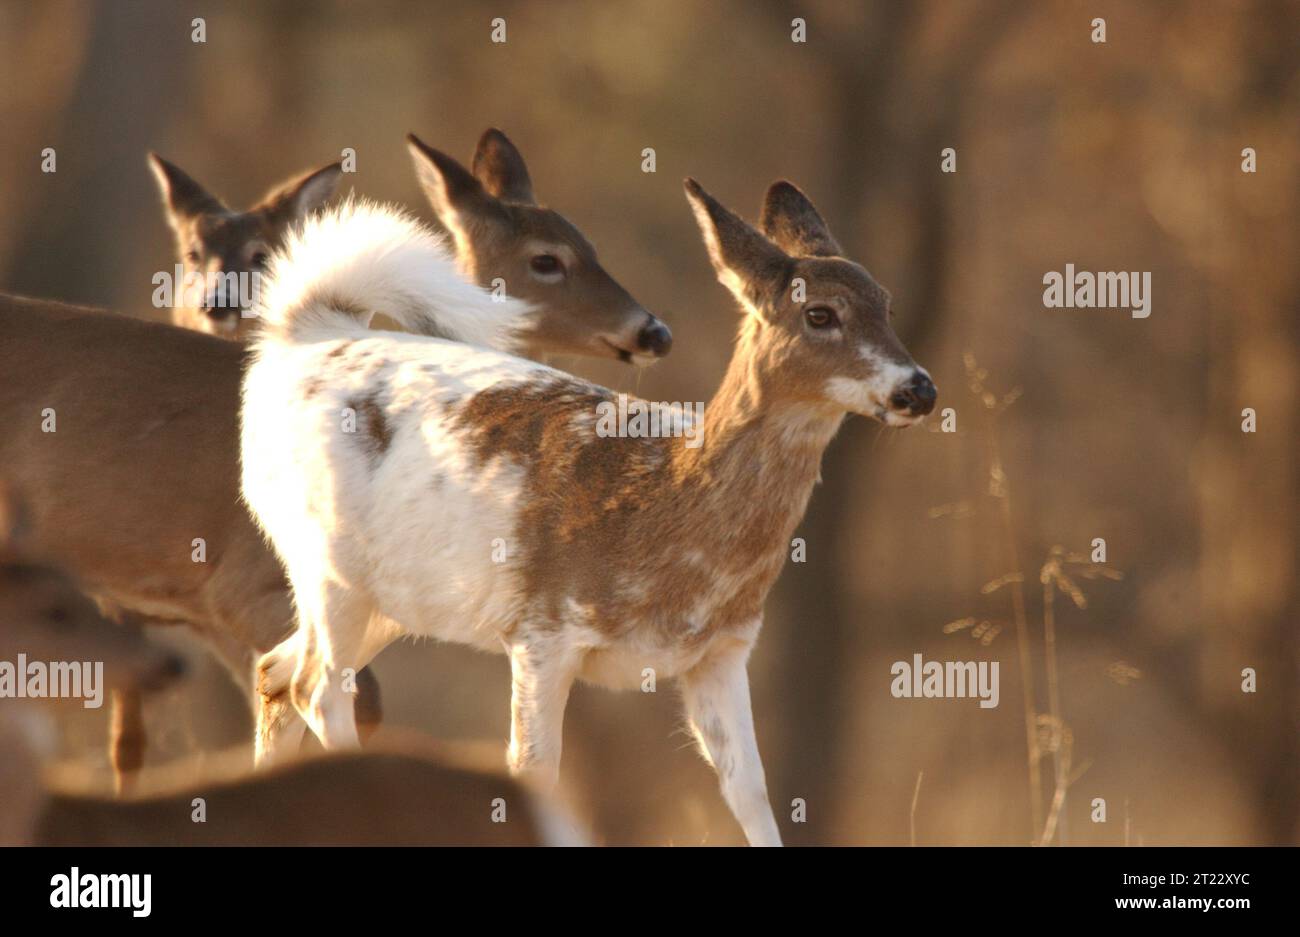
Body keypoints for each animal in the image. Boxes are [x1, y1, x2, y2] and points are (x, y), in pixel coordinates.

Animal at [242, 177, 937, 846]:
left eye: (886, 304)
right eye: (820, 312)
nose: (919, 389)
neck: (666, 505)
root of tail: (308, 334)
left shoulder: (722, 651)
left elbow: (752, 793)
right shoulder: (543, 629)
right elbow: (533, 772)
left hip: (395, 597)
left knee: (275, 671)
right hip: (325, 563)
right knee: (315, 687)